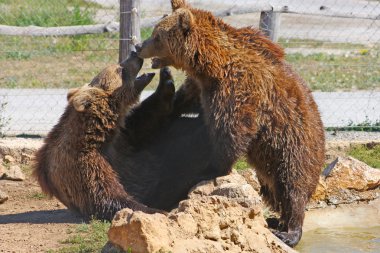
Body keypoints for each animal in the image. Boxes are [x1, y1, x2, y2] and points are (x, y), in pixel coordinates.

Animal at [135, 0, 326, 246]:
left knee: (292, 186)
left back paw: (288, 230)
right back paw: (276, 221)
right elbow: (187, 100)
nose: (138, 46)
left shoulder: (237, 88)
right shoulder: (201, 86)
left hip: (294, 146)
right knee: (274, 189)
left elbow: (232, 130)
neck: (210, 65)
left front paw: (210, 170)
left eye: (157, 36)